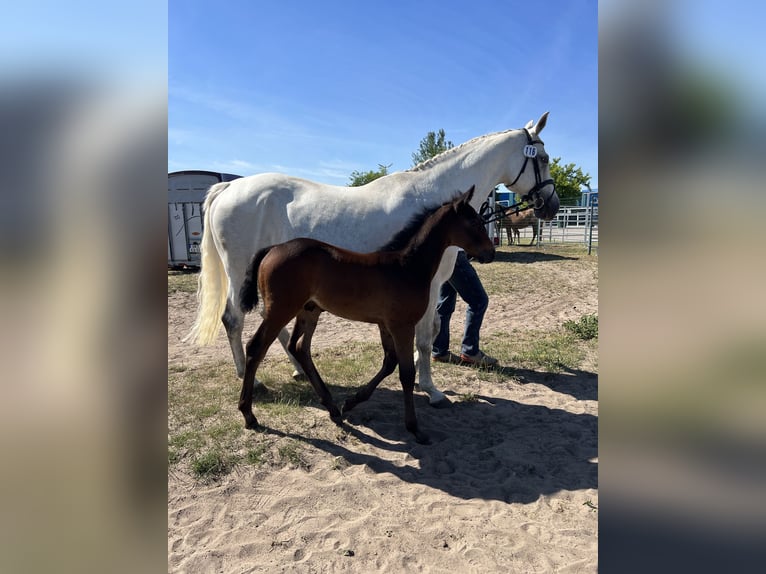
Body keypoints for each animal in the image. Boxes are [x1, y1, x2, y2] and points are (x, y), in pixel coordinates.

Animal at [184, 113, 560, 410]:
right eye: (542, 157)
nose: (551, 205)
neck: (433, 201)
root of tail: (228, 190)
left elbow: (430, 332)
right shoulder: (428, 287)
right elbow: (425, 338)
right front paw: (432, 390)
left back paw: (296, 369)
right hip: (240, 274)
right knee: (234, 320)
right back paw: (251, 379)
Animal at [237, 187, 496, 444]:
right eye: (475, 222)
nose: (491, 253)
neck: (407, 266)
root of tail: (273, 248)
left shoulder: (385, 325)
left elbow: (389, 363)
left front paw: (351, 402)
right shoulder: (402, 326)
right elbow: (406, 373)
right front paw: (414, 429)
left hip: (309, 311)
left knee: (300, 348)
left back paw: (333, 408)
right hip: (280, 310)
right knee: (256, 347)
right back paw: (249, 414)